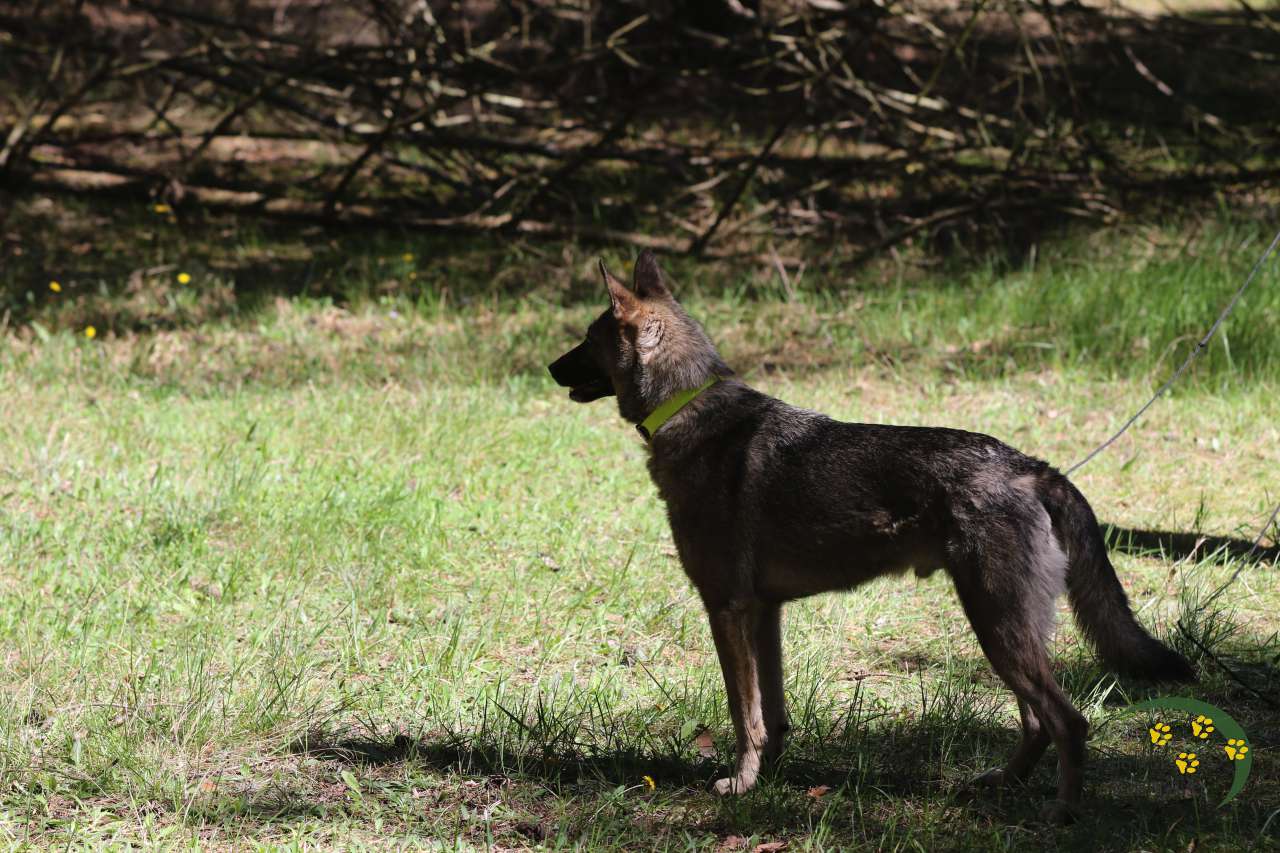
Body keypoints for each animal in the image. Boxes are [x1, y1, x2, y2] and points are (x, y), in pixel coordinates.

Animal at [548, 250, 1194, 823]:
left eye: (586, 338)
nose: (549, 369)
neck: (689, 407)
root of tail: (1030, 466)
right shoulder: (764, 613)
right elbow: (772, 714)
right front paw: (770, 777)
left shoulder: (725, 608)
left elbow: (742, 712)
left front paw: (741, 784)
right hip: (1005, 631)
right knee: (1037, 722)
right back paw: (997, 785)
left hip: (998, 627)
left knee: (1068, 721)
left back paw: (1060, 812)